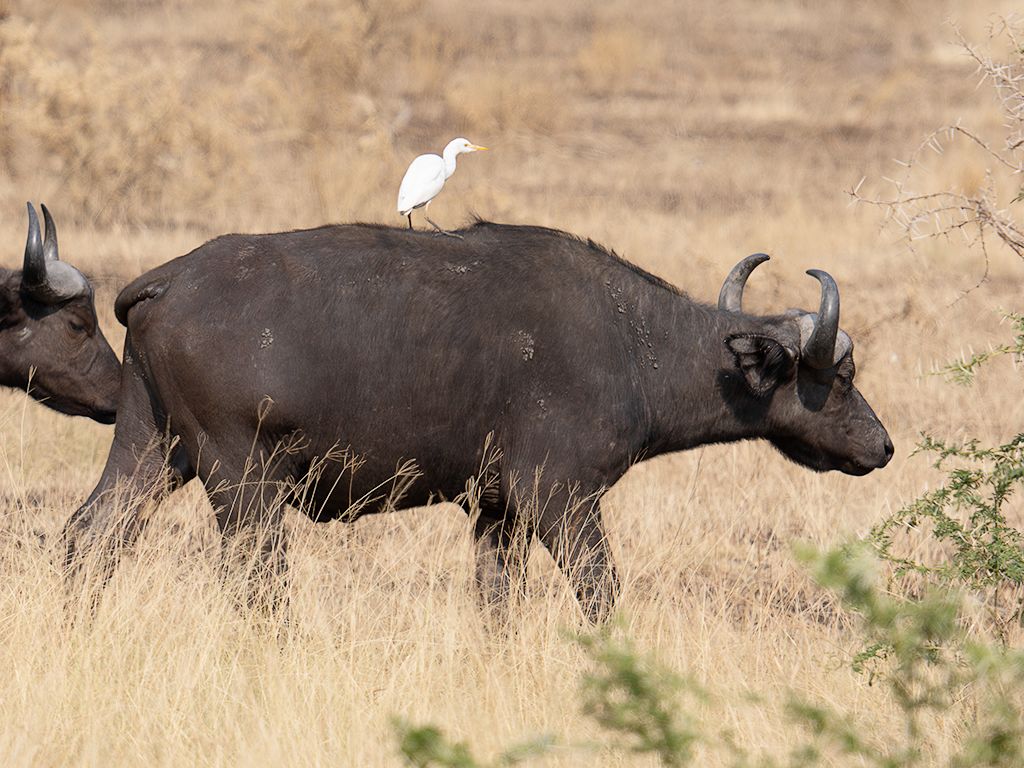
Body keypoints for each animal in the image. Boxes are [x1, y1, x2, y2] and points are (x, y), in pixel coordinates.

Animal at [65, 221, 892, 620]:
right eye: (841, 375)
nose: (882, 446)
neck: (633, 342)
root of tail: (170, 278)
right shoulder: (560, 500)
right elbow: (601, 593)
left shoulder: (499, 515)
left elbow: (499, 607)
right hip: (243, 485)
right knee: (259, 584)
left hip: (151, 453)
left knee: (89, 537)